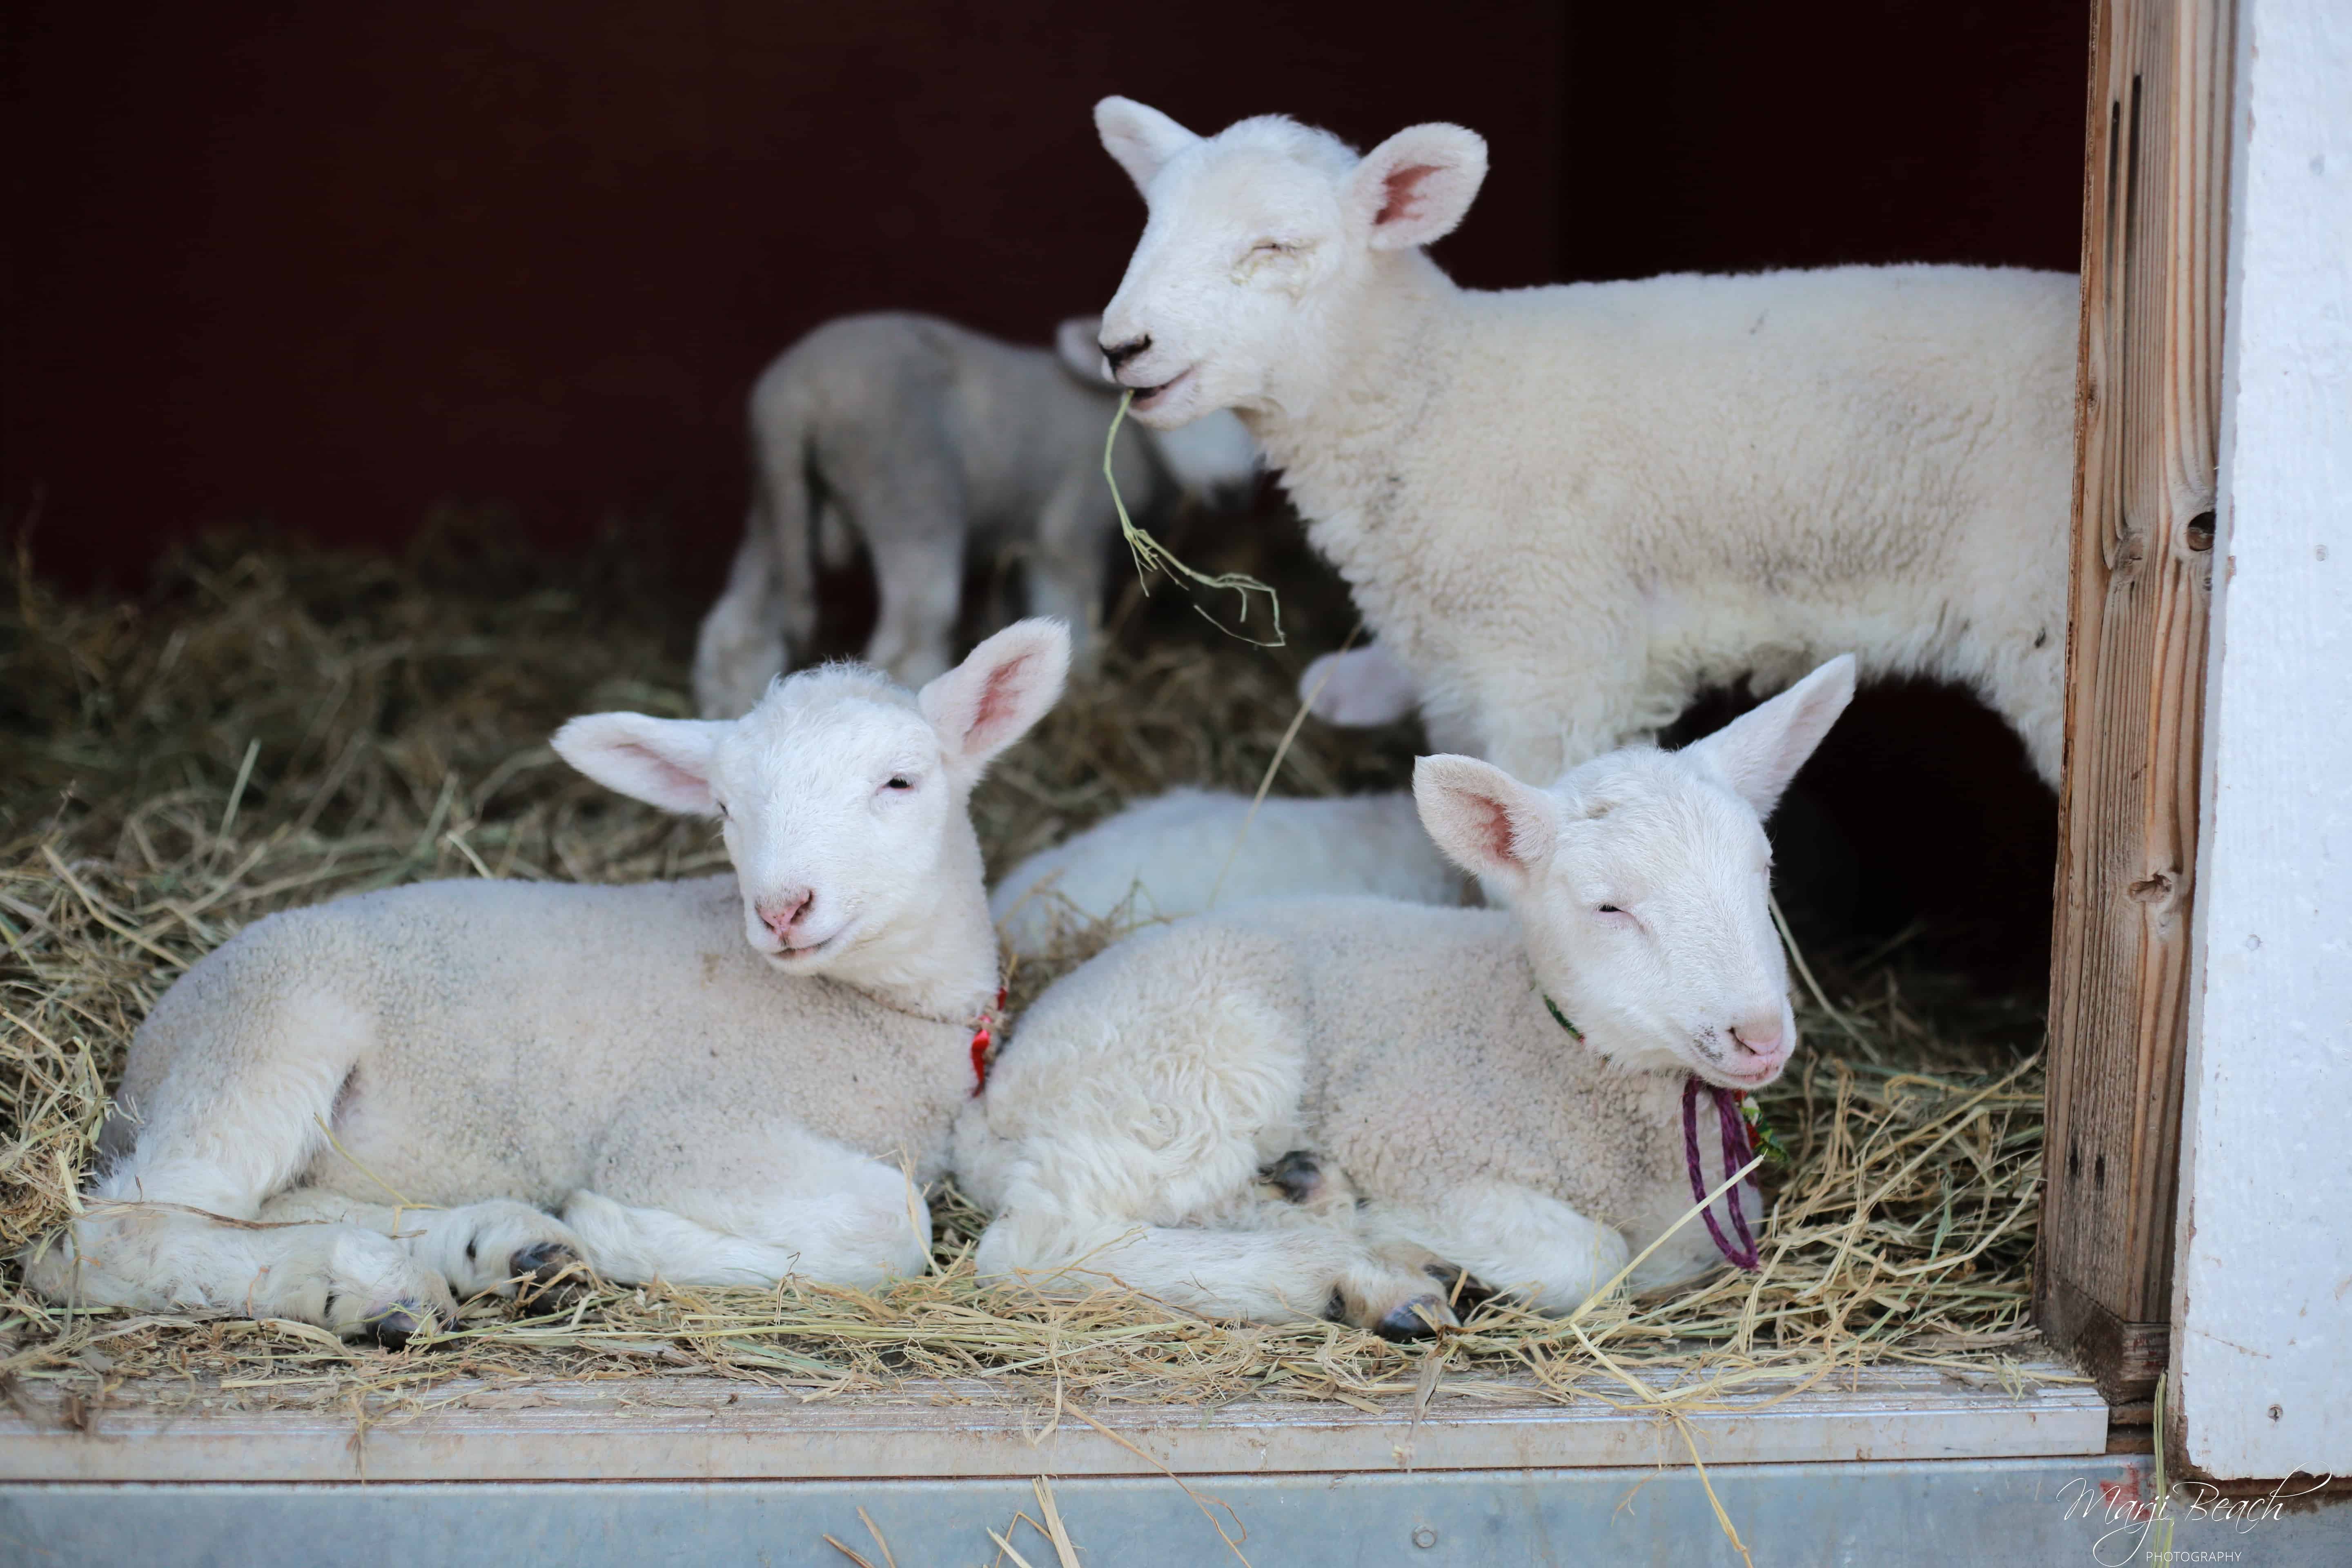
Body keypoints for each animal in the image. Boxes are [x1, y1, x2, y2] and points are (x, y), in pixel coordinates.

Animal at [22, 621, 1071, 1345]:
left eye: (901, 782)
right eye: (727, 809)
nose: (780, 908)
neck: (876, 1014)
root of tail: (149, 1047)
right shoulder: (681, 1129)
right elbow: (896, 1225)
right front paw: (618, 1230)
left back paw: (479, 1252)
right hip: (267, 1034)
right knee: (102, 1236)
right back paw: (369, 1282)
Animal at [692, 310, 1256, 717]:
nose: (1237, 487)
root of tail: (799, 395)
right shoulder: (1072, 528)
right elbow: (1071, 611)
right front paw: (1080, 688)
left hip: (777, 504)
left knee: (738, 627)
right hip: (910, 492)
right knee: (912, 632)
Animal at [1085, 97, 2076, 789]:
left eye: (1276, 247)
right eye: (1149, 226)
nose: (1123, 345)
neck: (1436, 399)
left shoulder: (1554, 658)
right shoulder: (1460, 675)